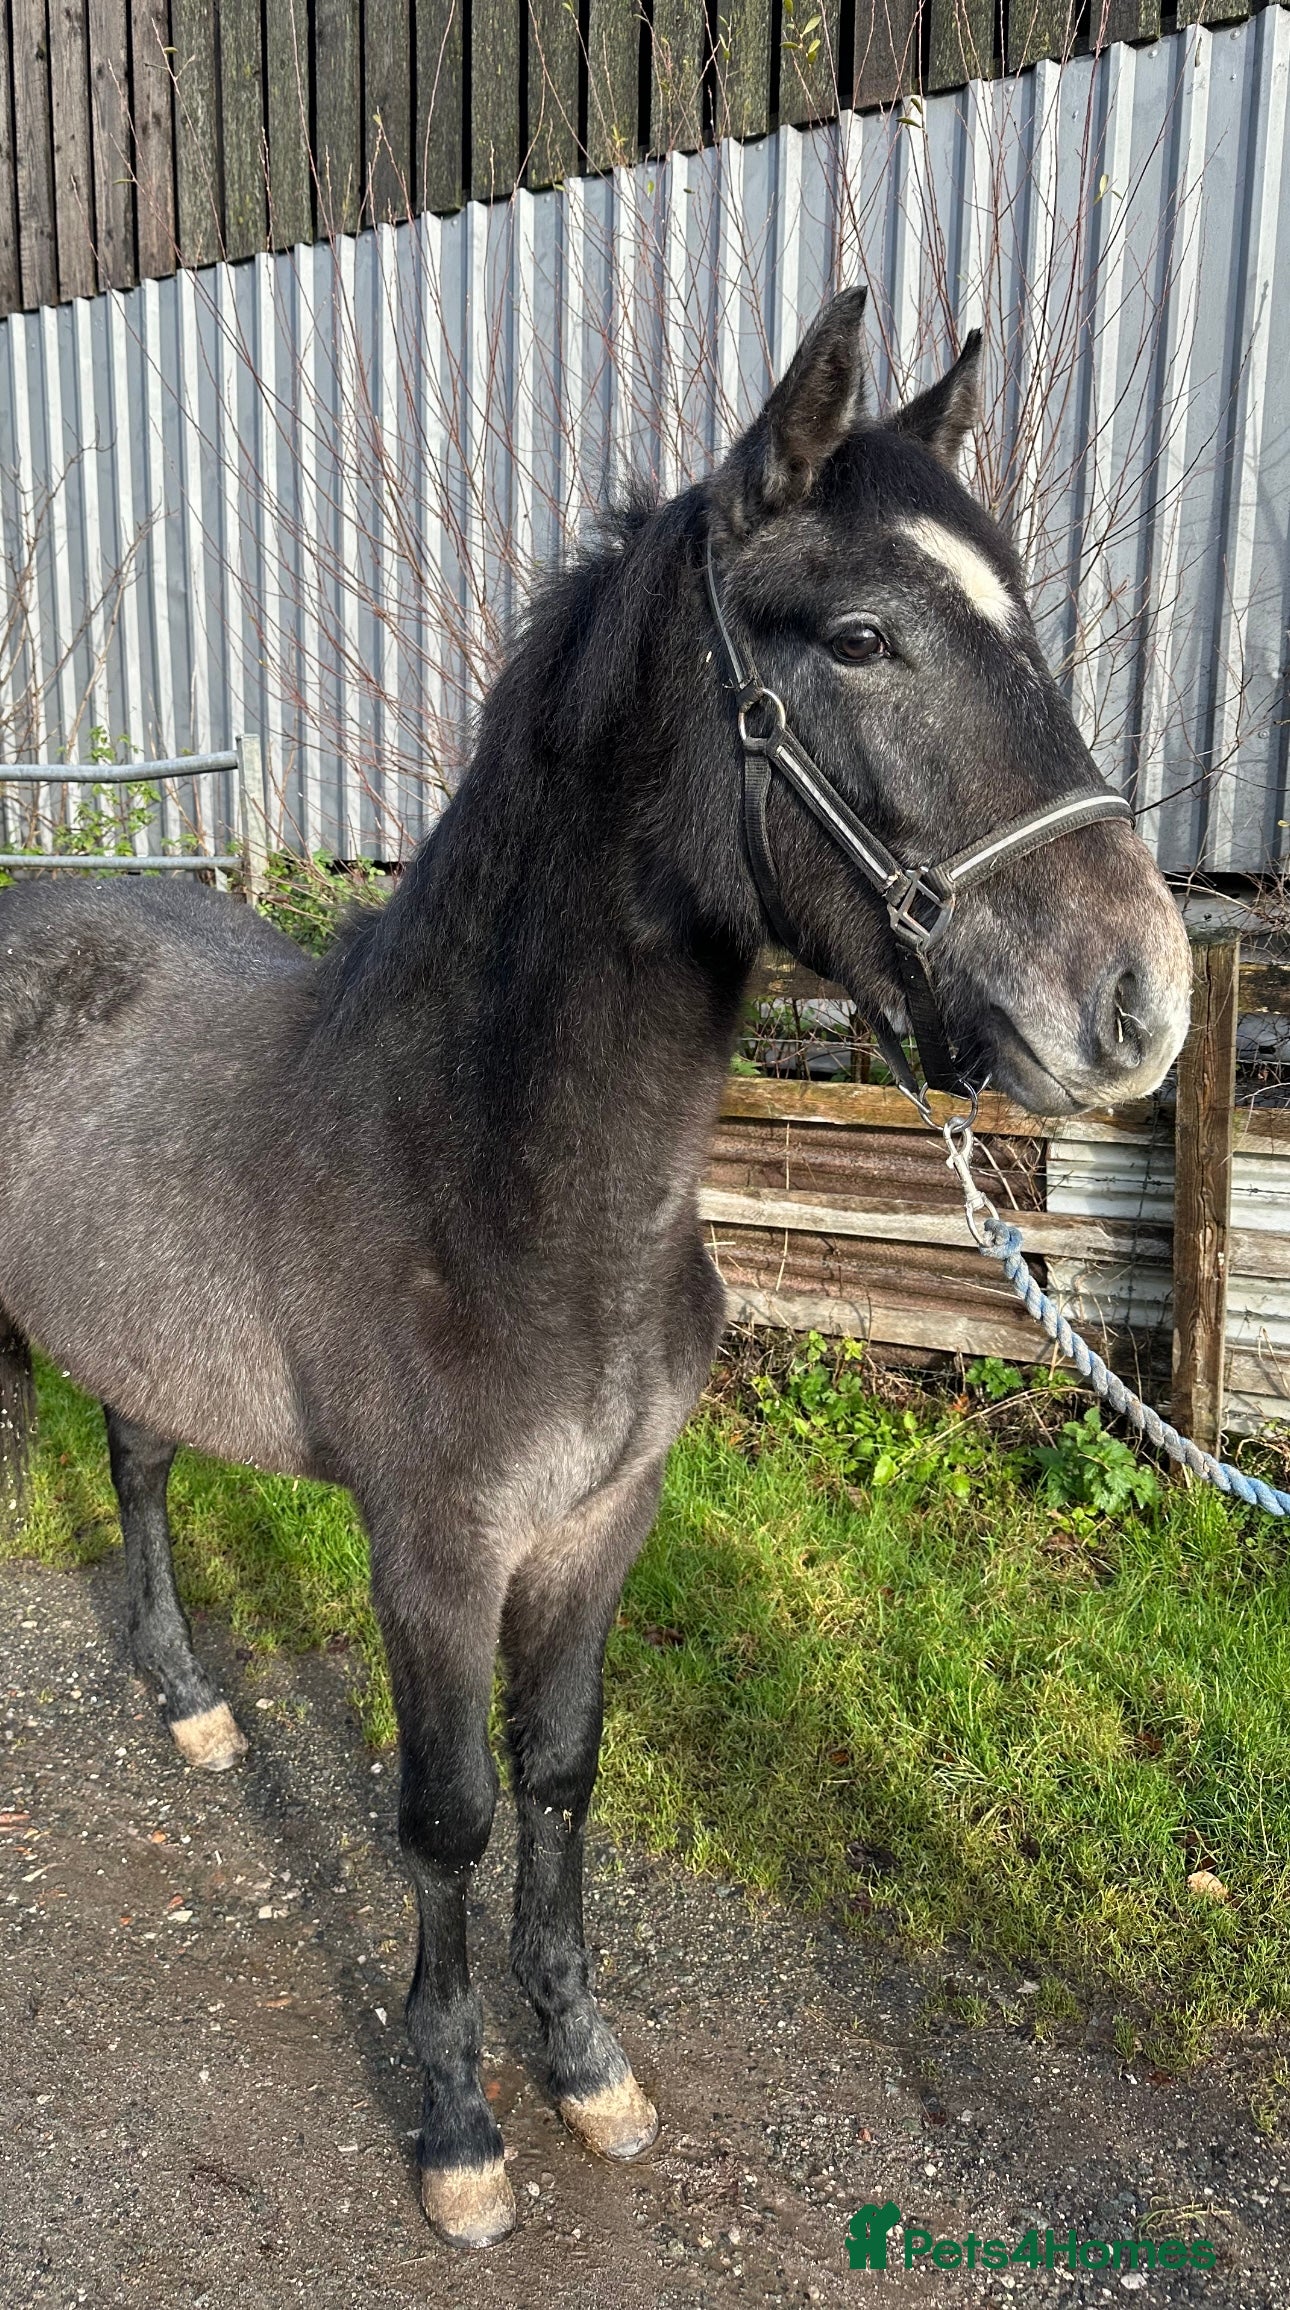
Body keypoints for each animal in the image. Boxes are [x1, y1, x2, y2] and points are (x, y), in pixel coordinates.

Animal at [0, 288, 1191, 2250]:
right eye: (861, 638)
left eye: (1022, 616)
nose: (1140, 998)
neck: (500, 1181)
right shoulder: (434, 1549)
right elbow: (449, 1814)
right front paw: (459, 2131)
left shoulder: (603, 1520)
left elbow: (562, 1772)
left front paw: (582, 2064)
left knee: (142, 1464)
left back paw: (190, 1708)